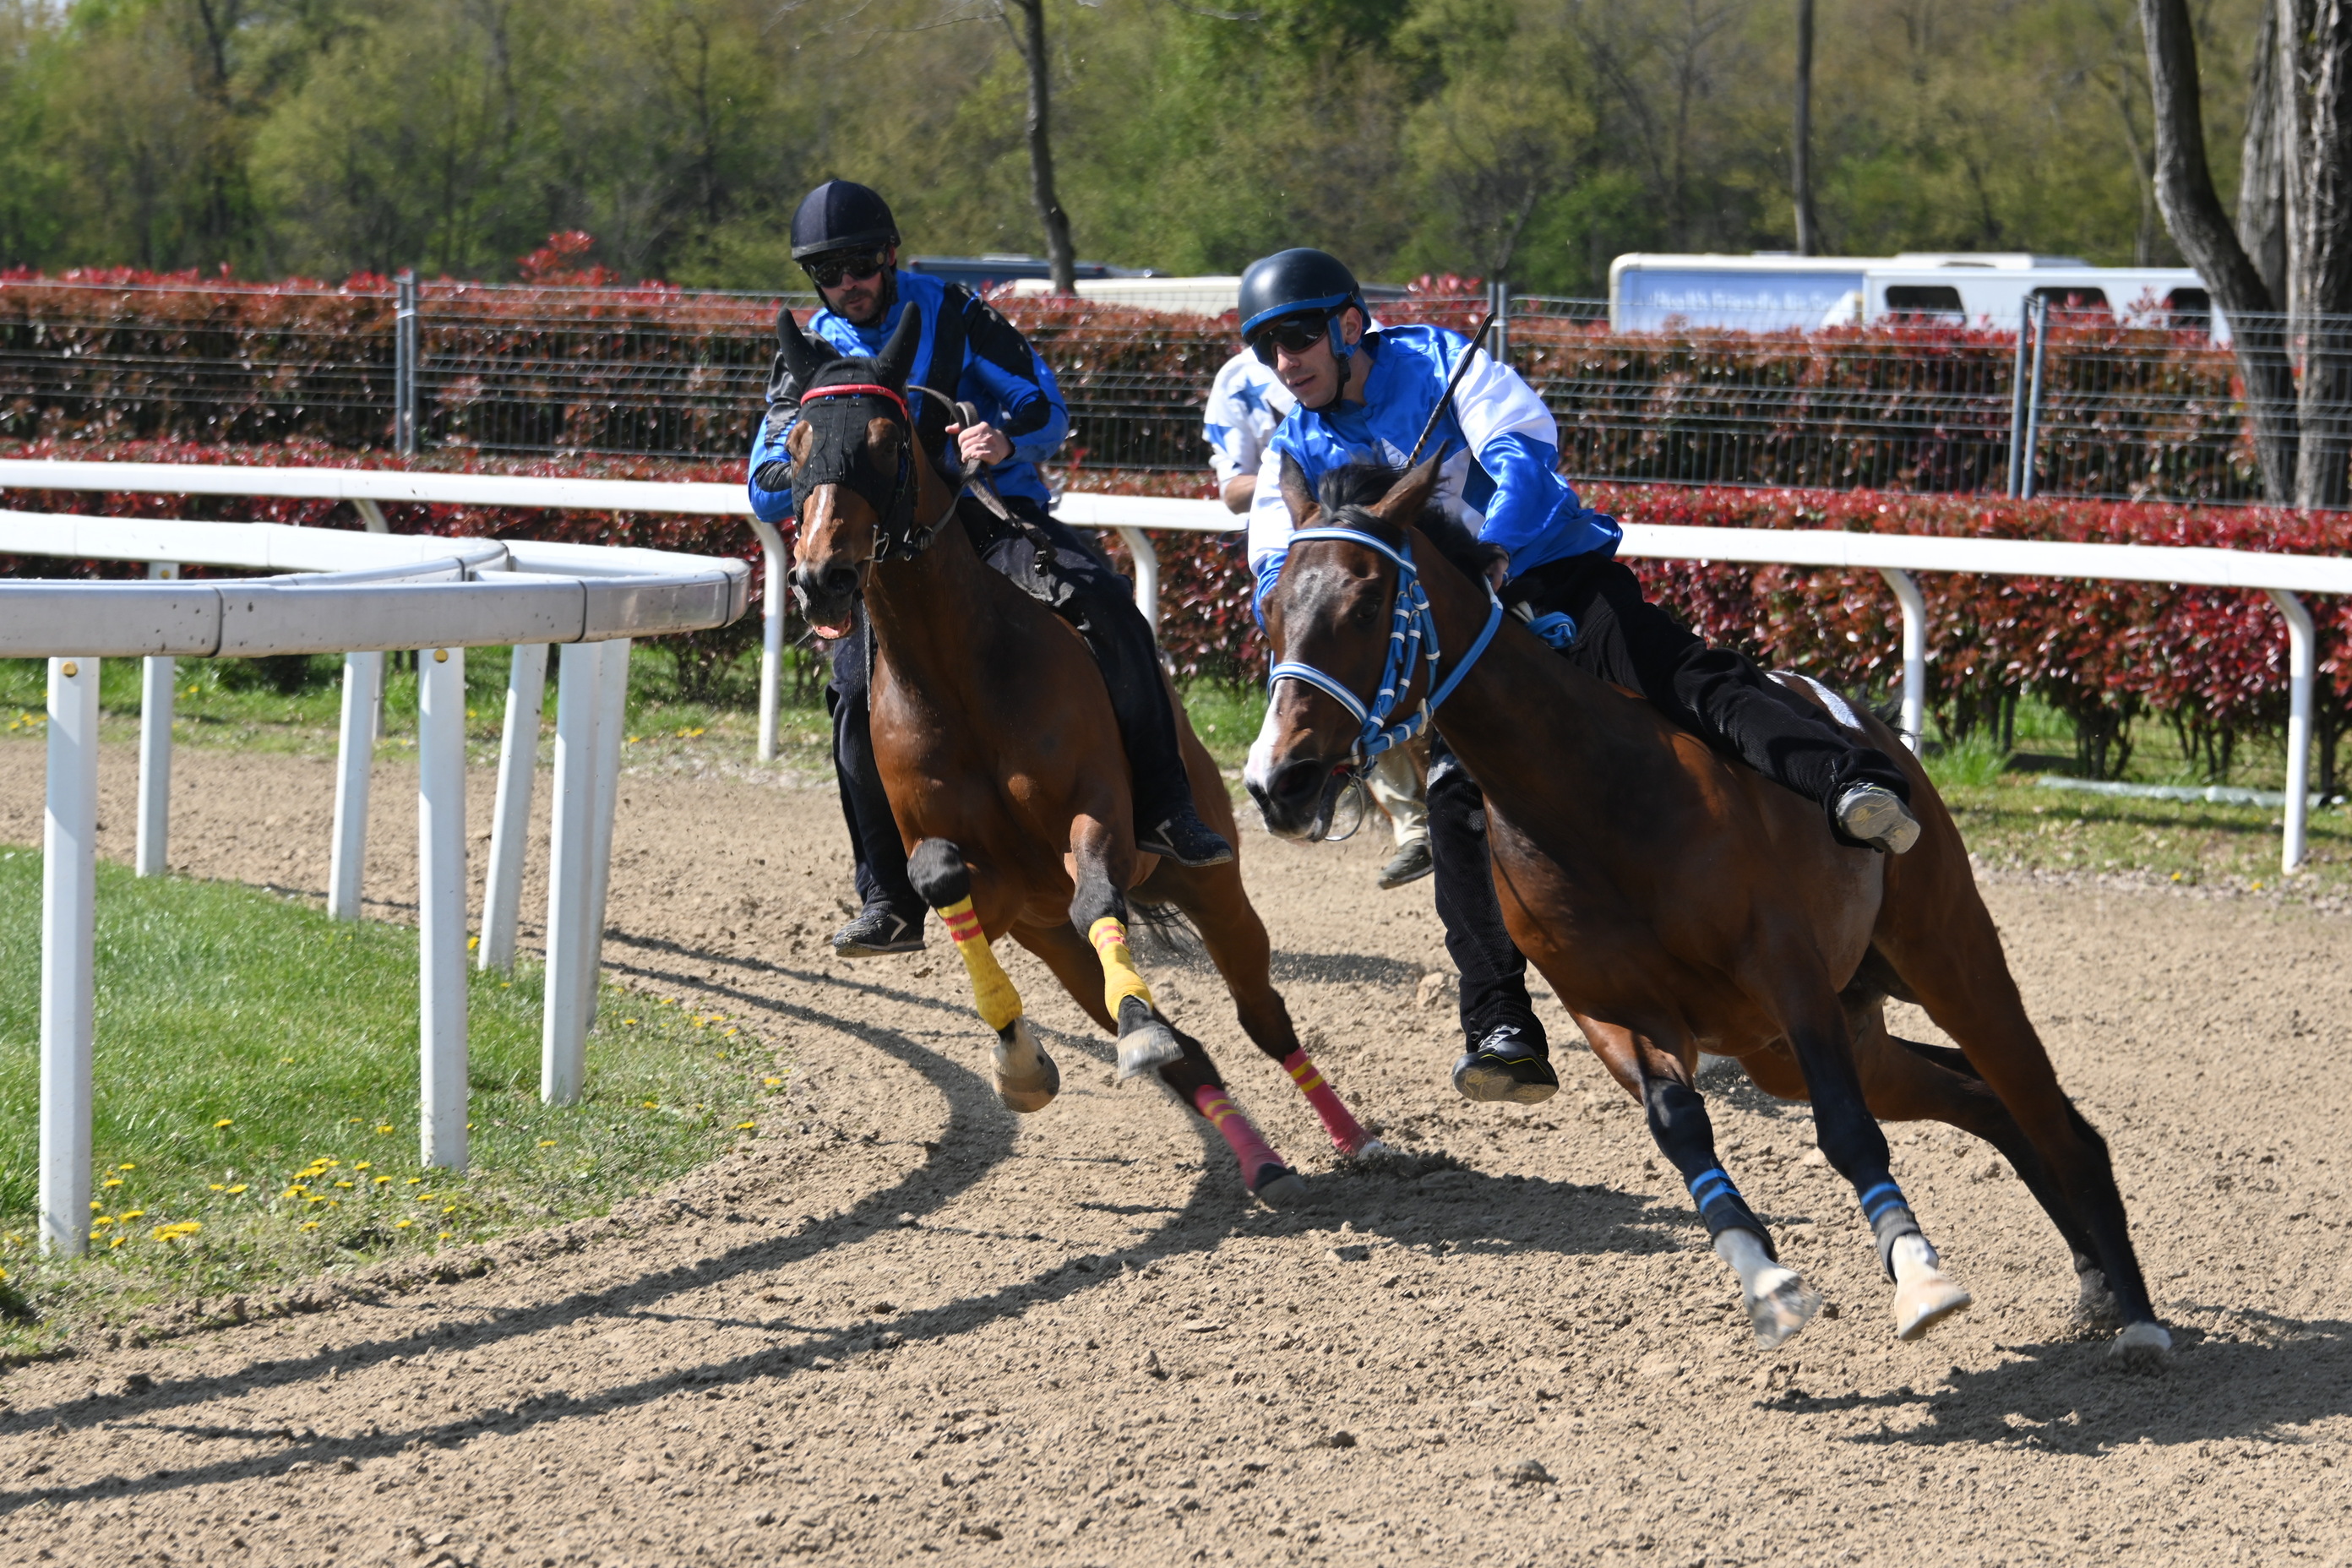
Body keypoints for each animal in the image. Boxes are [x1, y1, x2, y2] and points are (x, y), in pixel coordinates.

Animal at [781, 305, 1382, 1212]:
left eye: (885, 442)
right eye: (793, 444)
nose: (822, 575)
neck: (956, 670)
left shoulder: (1097, 815)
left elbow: (1098, 893)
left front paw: (1130, 1032)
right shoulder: (994, 890)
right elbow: (941, 882)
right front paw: (1021, 1063)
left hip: (1214, 885)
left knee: (1261, 1015)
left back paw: (1353, 1137)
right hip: (1057, 948)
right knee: (1192, 1051)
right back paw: (1259, 1160)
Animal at [1241, 460, 2173, 1363]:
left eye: (1366, 604)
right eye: (1272, 607)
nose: (1278, 779)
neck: (1592, 795)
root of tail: (1878, 732)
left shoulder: (1785, 967)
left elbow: (1847, 1130)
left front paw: (1918, 1276)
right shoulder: (1614, 1007)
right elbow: (1681, 1128)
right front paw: (1767, 1282)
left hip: (1944, 951)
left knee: (2047, 1114)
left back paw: (2138, 1319)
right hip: (1802, 1043)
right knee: (1982, 1099)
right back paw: (2094, 1282)